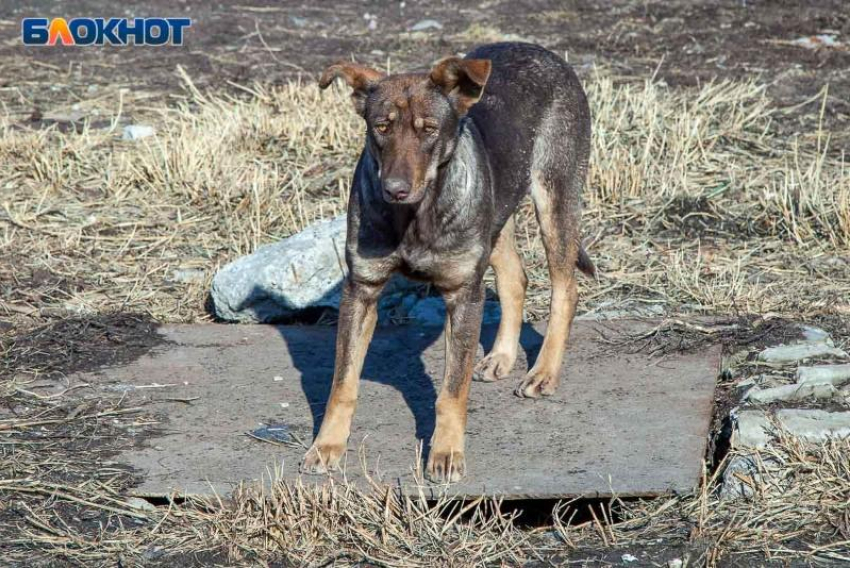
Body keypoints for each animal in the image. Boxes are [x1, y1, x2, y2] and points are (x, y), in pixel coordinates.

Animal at [302, 42, 592, 482]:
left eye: (428, 130)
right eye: (381, 127)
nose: (394, 189)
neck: (414, 218)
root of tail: (540, 50)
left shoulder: (461, 294)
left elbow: (452, 391)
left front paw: (446, 453)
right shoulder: (362, 291)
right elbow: (343, 383)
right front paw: (327, 445)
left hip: (554, 196)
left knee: (566, 288)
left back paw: (543, 372)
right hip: (494, 215)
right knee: (515, 277)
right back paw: (502, 356)